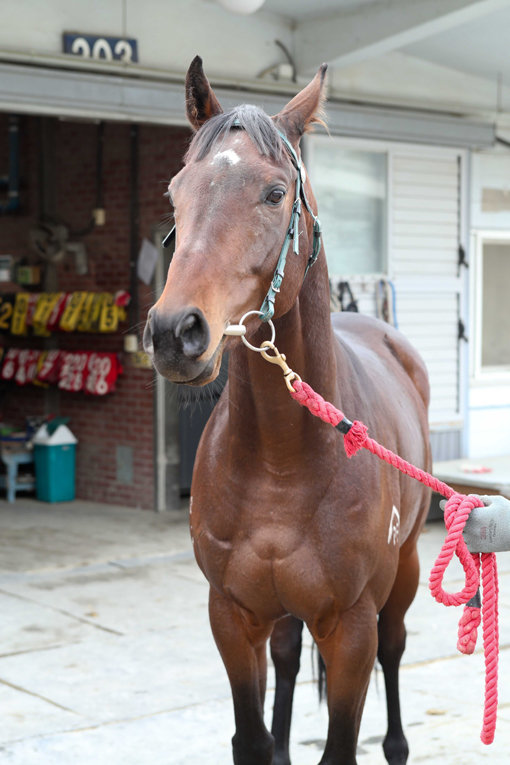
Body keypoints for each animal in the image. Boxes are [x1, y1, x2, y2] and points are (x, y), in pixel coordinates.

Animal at [143, 55, 430, 764]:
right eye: (175, 191)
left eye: (275, 194)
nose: (174, 332)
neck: (282, 457)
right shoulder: (231, 616)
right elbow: (252, 736)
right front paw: (269, 741)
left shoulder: (351, 629)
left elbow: (343, 740)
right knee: (289, 658)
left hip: (404, 574)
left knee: (394, 651)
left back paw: (397, 743)